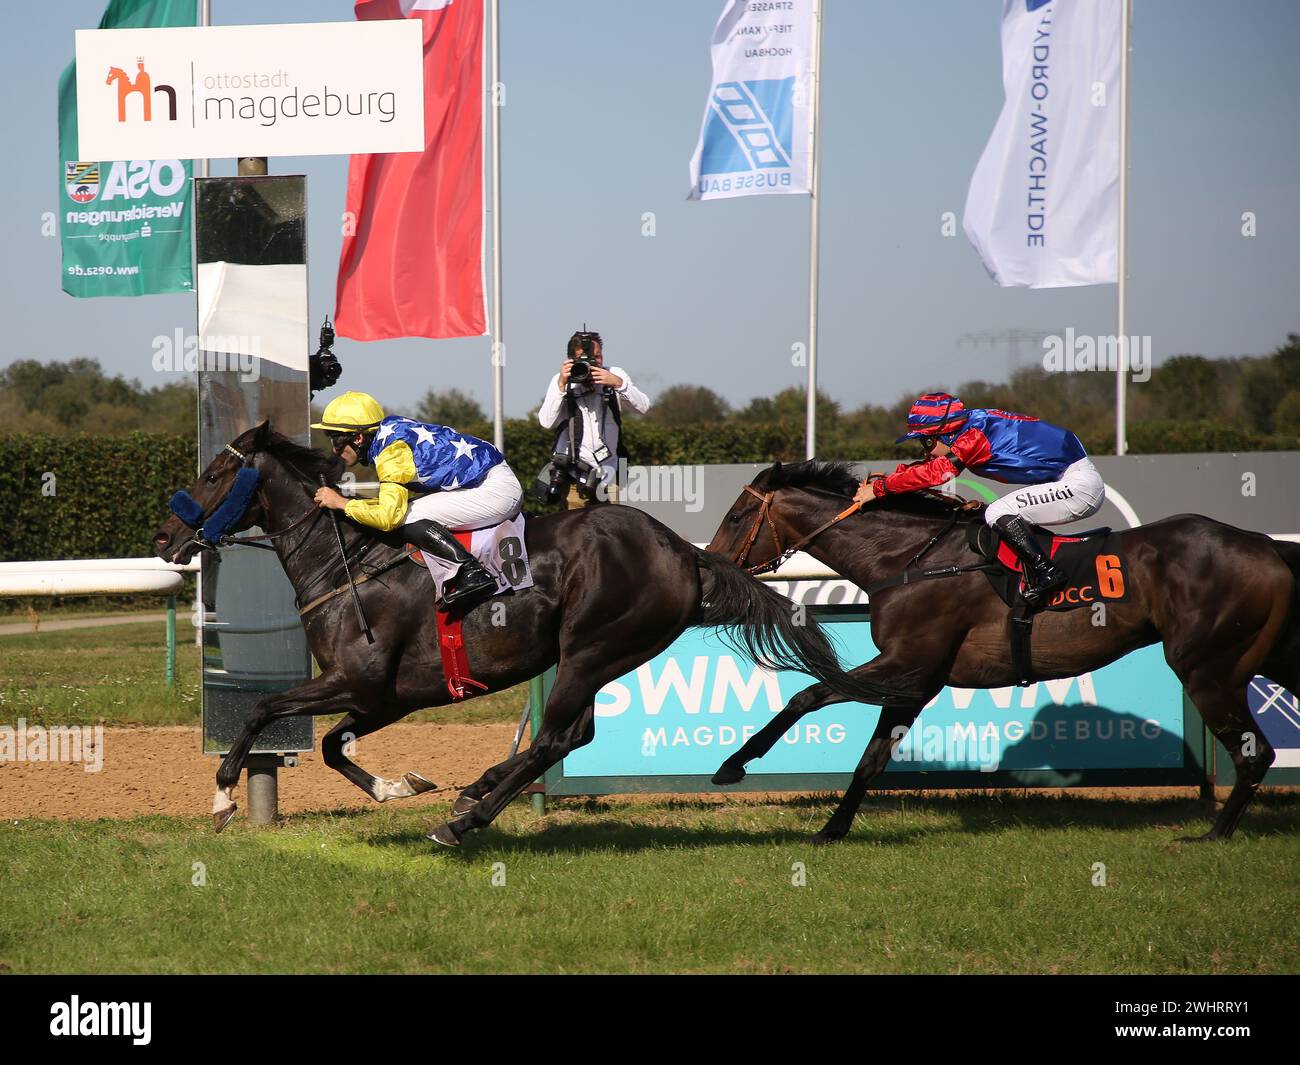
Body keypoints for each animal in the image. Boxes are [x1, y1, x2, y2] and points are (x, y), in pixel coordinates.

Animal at [152, 426, 909, 847]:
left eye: (214, 473)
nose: (163, 538)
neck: (350, 564)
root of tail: (682, 551)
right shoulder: (386, 694)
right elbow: (337, 746)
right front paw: (400, 786)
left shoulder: (354, 680)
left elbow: (260, 708)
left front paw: (223, 799)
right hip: (601, 657)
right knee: (573, 735)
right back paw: (475, 791)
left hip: (591, 648)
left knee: (554, 737)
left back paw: (465, 818)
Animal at [707, 462, 1300, 847]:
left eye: (735, 517)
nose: (712, 567)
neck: (908, 559)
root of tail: (1266, 545)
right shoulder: (918, 679)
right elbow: (870, 759)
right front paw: (832, 830)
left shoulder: (906, 663)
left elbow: (809, 694)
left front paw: (733, 764)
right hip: (1265, 657)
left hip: (1206, 667)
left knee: (1254, 753)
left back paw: (1213, 834)